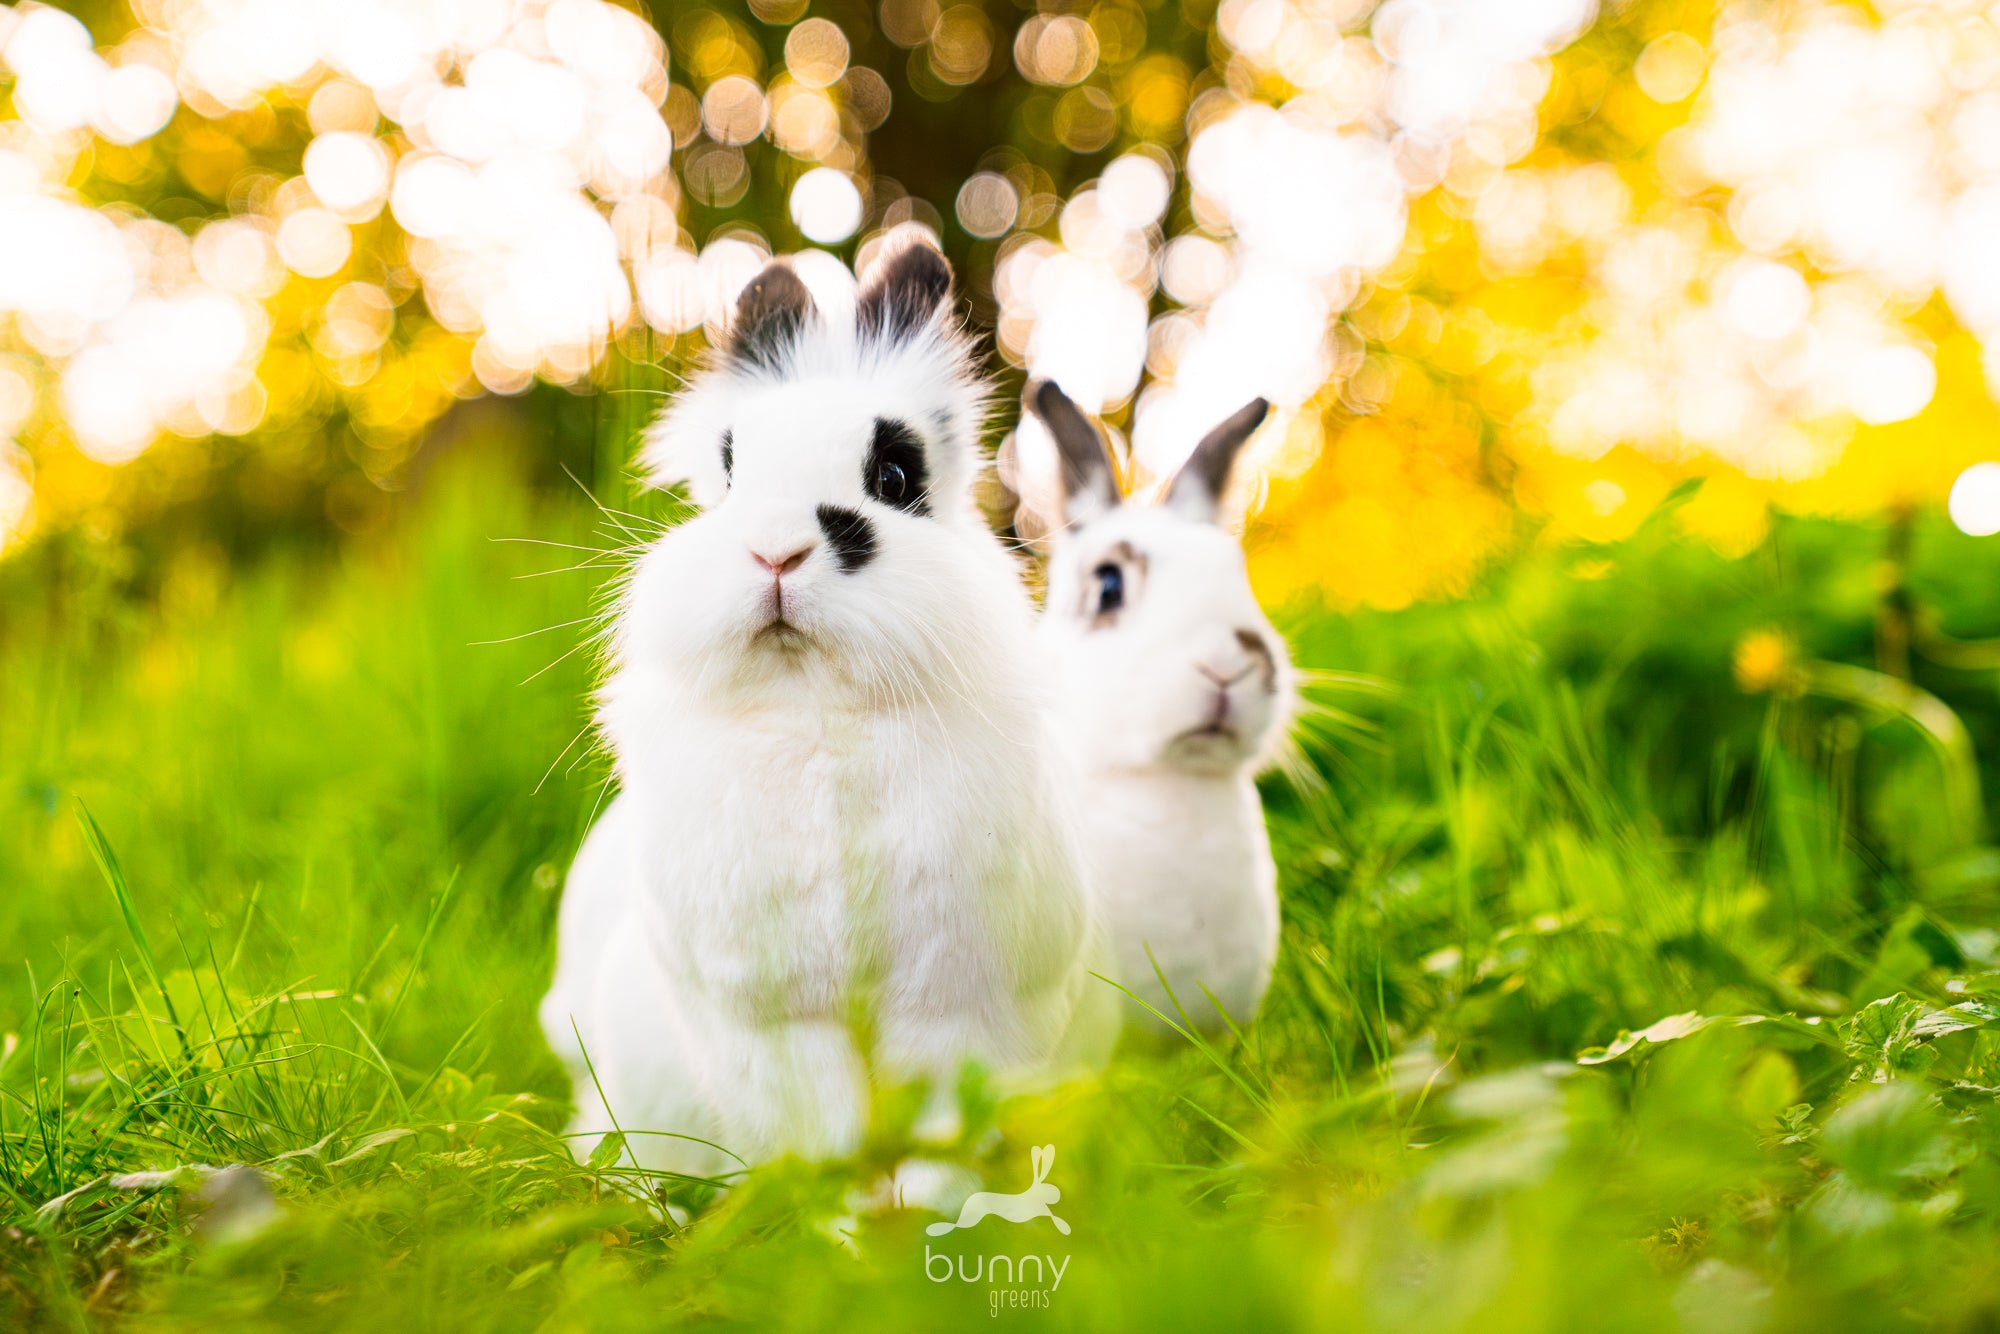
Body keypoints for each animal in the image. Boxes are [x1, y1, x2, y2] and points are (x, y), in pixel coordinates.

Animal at [538, 243, 1115, 1181]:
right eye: (730, 472)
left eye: (895, 477)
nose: (775, 552)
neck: (815, 711)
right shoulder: (773, 1024)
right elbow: (820, 1132)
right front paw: (836, 1210)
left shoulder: (953, 1010)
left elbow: (935, 1129)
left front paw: (928, 1209)